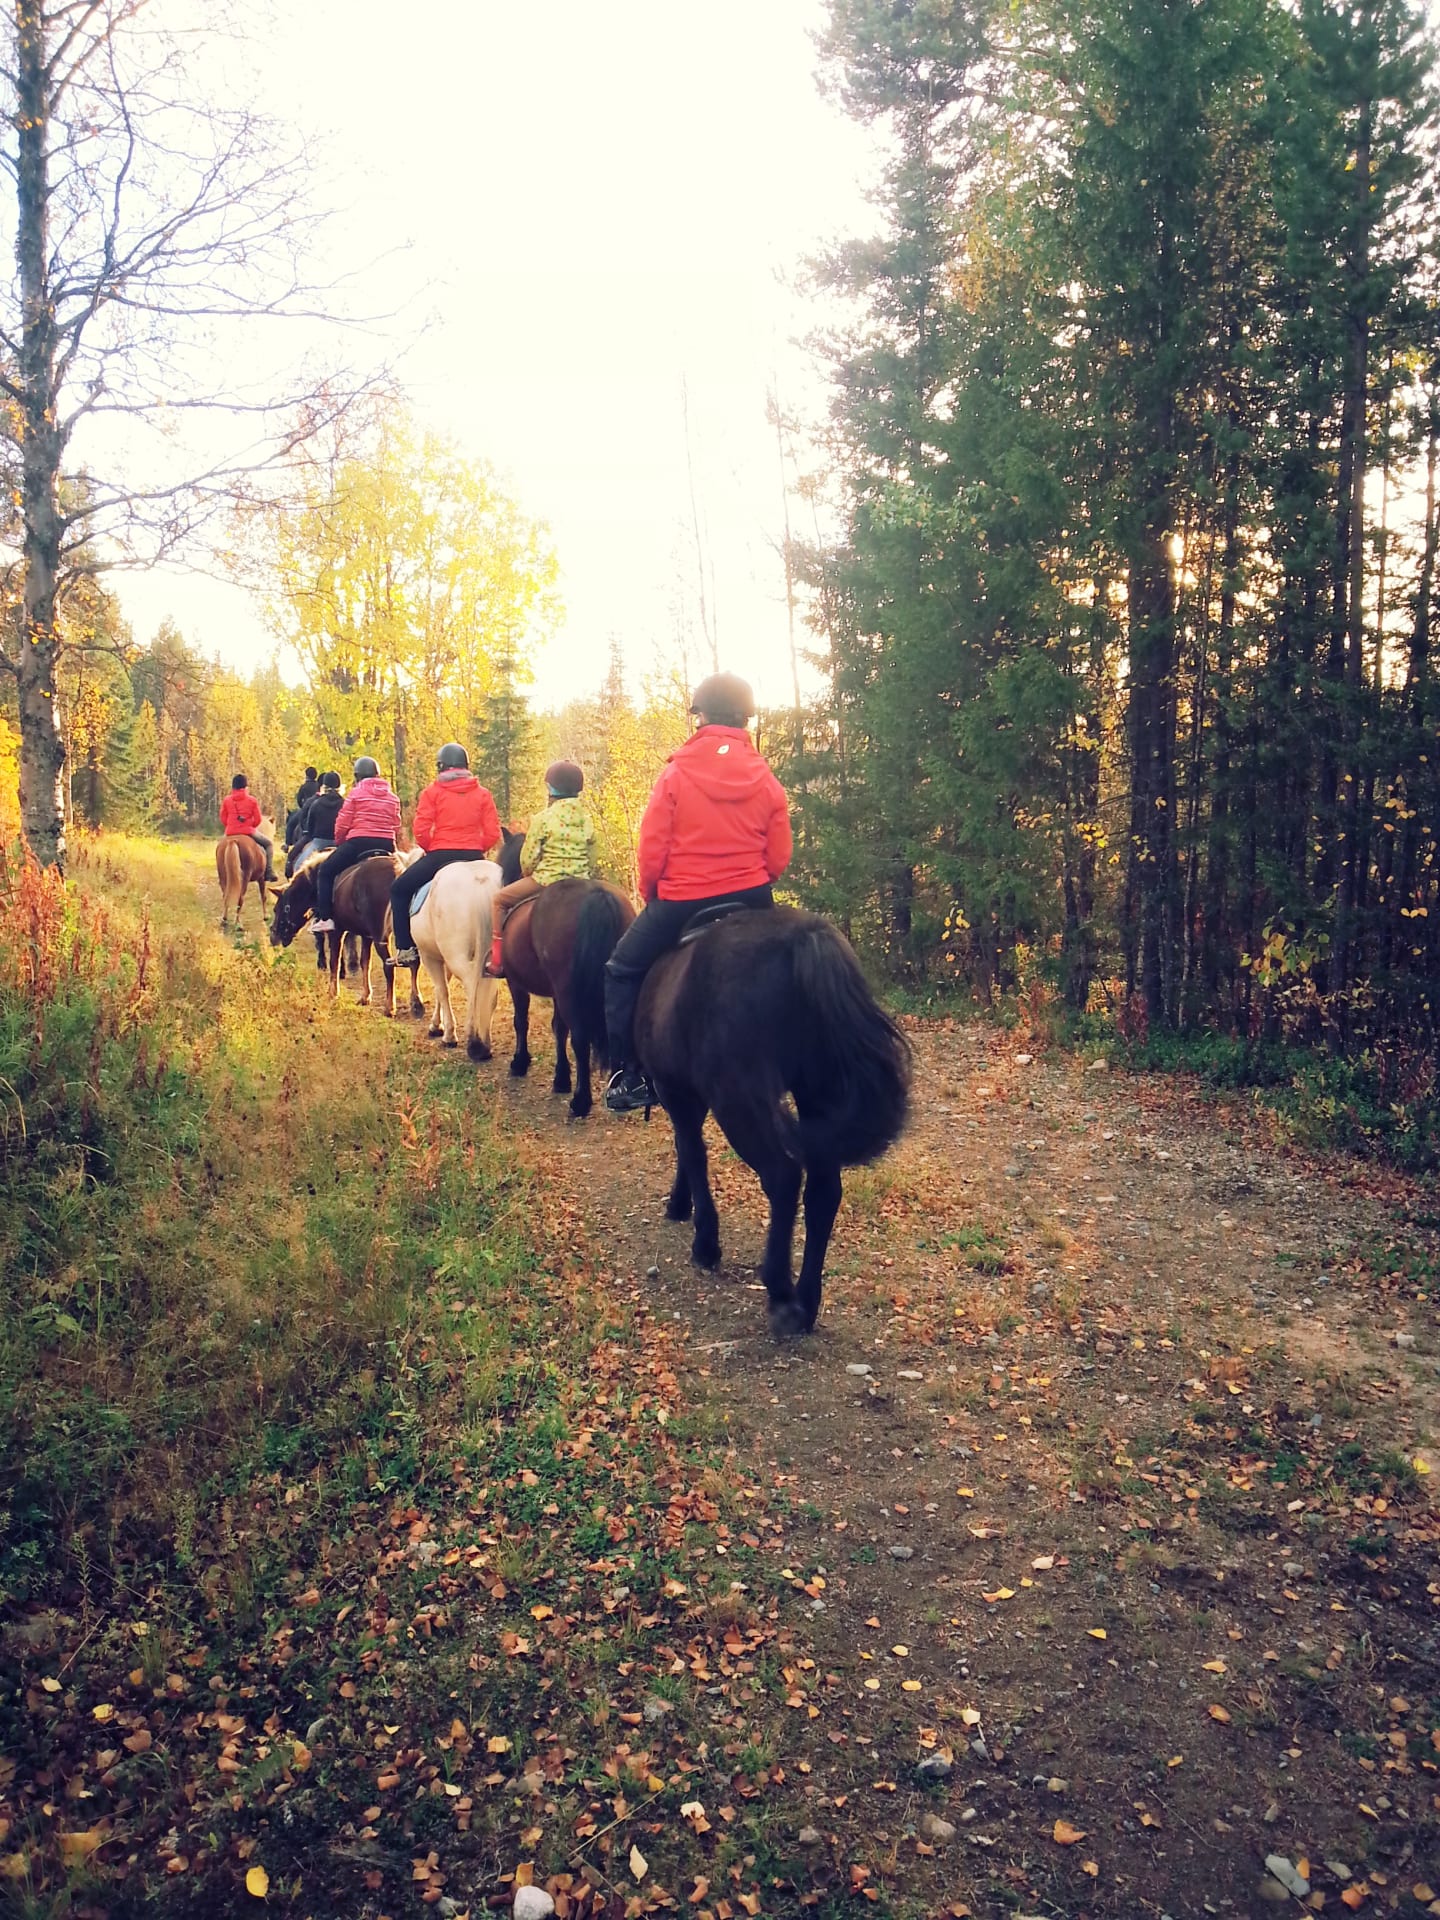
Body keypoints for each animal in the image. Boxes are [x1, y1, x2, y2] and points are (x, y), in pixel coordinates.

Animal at [268, 848, 422, 1013]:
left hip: (381, 936)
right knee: (414, 962)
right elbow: (365, 963)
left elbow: (334, 962)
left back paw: (390, 1007)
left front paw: (333, 993)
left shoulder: (337, 931)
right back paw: (416, 1003)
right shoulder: (366, 936)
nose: (273, 936)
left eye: (277, 908)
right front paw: (365, 996)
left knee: (389, 966)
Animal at [410, 860, 506, 1059]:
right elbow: (442, 988)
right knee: (489, 991)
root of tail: (479, 879)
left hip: (456, 957)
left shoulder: (429, 956)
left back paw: (475, 1043)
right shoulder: (442, 959)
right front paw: (436, 1025)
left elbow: (442, 990)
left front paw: (448, 1034)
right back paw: (484, 1042)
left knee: (472, 987)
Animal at [499, 833, 633, 1121]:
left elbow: (521, 1021)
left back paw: (581, 1102)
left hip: (568, 992)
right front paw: (561, 1078)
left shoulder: (516, 984)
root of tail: (598, 897)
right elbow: (558, 1029)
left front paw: (520, 1062)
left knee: (580, 1040)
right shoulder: (556, 993)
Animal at [633, 902, 906, 1328]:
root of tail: (805, 940)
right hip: (817, 1094)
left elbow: (691, 1152)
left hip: (739, 1103)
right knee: (823, 1192)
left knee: (783, 1175)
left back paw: (780, 1292)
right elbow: (686, 1149)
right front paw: (680, 1204)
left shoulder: (676, 1091)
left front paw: (703, 1242)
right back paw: (806, 1303)